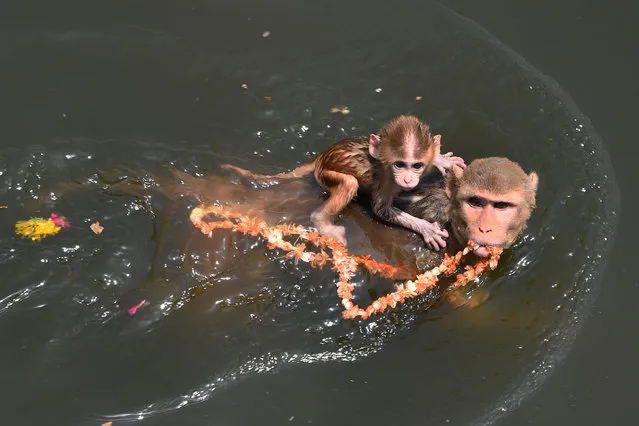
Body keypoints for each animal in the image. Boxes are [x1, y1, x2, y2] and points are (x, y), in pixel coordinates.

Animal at [224, 115, 464, 251]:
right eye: (399, 164)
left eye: (416, 166)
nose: (407, 179)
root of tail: (321, 157)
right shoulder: (386, 180)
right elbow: (380, 210)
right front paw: (426, 228)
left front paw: (440, 159)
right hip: (324, 174)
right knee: (349, 183)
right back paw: (321, 220)